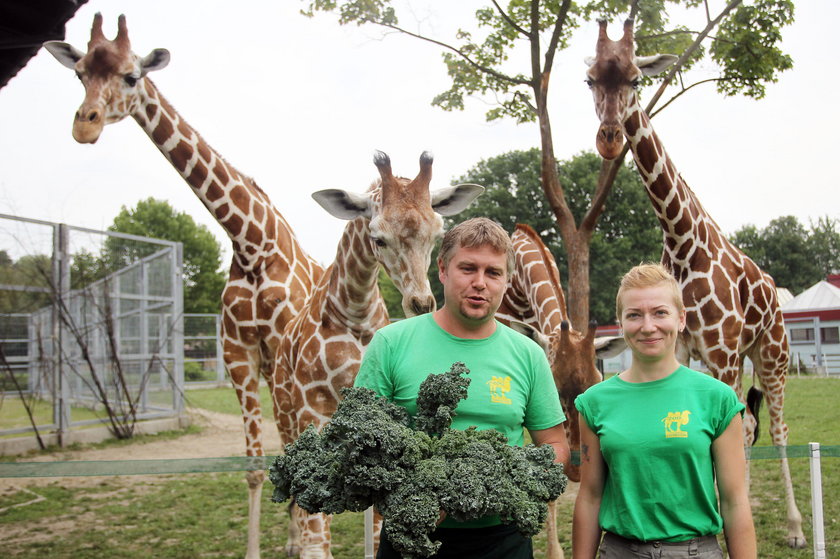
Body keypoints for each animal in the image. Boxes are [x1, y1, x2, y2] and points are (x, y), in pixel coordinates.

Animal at [42, 15, 326, 556]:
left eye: (131, 76)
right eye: (80, 72)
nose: (84, 124)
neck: (251, 243)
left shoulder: (282, 352)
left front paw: (303, 539)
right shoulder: (239, 355)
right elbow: (255, 466)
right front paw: (269, 546)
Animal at [270, 151, 480, 556]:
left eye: (438, 235)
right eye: (377, 238)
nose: (421, 303)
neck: (356, 315)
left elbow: (380, 512)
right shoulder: (311, 407)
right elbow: (316, 530)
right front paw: (305, 541)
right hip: (284, 414)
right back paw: (290, 542)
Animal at [584, 19, 808, 548]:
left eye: (635, 78)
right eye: (590, 79)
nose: (609, 138)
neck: (682, 239)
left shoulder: (723, 353)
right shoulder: (688, 351)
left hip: (771, 354)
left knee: (777, 429)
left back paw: (795, 529)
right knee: (749, 424)